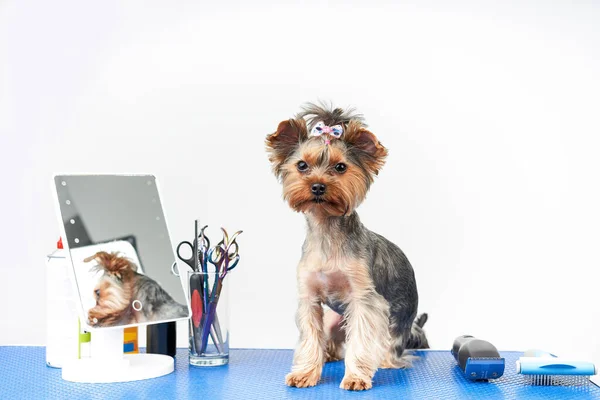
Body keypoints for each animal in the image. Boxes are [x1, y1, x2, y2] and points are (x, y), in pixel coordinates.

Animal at [266, 102, 426, 390]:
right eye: (302, 165)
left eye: (340, 167)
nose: (318, 186)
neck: (327, 231)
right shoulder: (309, 298)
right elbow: (310, 337)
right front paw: (305, 373)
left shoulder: (365, 300)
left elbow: (361, 340)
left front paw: (356, 377)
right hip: (333, 318)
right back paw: (328, 354)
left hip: (397, 325)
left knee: (386, 347)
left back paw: (384, 360)